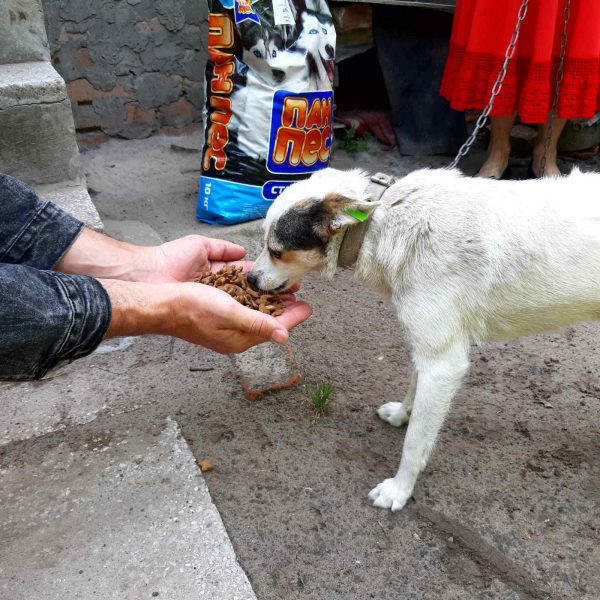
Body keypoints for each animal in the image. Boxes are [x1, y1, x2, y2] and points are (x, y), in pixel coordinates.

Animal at [248, 168, 600, 510]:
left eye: (276, 251)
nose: (249, 279)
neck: (385, 222)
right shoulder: (426, 348)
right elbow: (413, 392)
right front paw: (402, 415)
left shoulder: (443, 365)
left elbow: (415, 442)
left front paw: (399, 490)